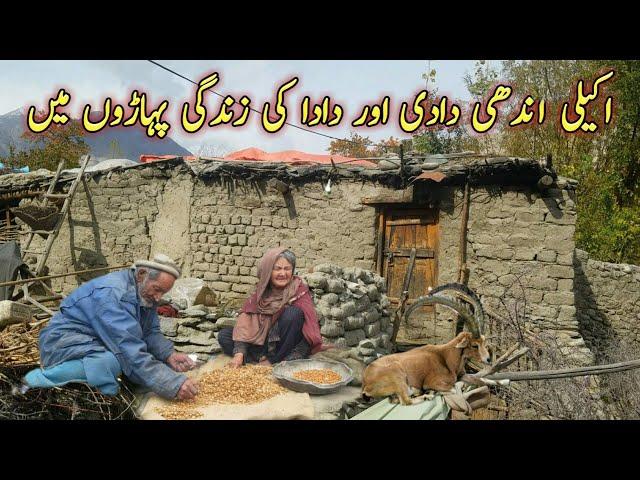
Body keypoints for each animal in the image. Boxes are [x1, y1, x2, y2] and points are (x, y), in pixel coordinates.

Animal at [360, 330, 490, 404]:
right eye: (474, 345)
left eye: (483, 342)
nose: (488, 359)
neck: (445, 356)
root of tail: (365, 384)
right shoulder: (432, 382)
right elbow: (455, 389)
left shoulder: (462, 375)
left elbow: (479, 380)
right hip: (397, 374)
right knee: (406, 401)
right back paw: (427, 396)